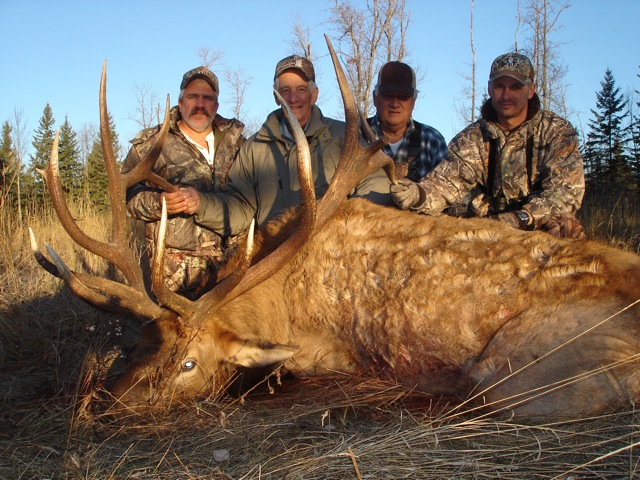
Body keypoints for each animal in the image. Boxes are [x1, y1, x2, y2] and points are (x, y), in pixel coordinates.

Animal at [31, 36, 640, 420]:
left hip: (521, 366)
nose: (110, 405)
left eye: (188, 362)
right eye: (138, 346)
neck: (278, 302)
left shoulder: (323, 350)